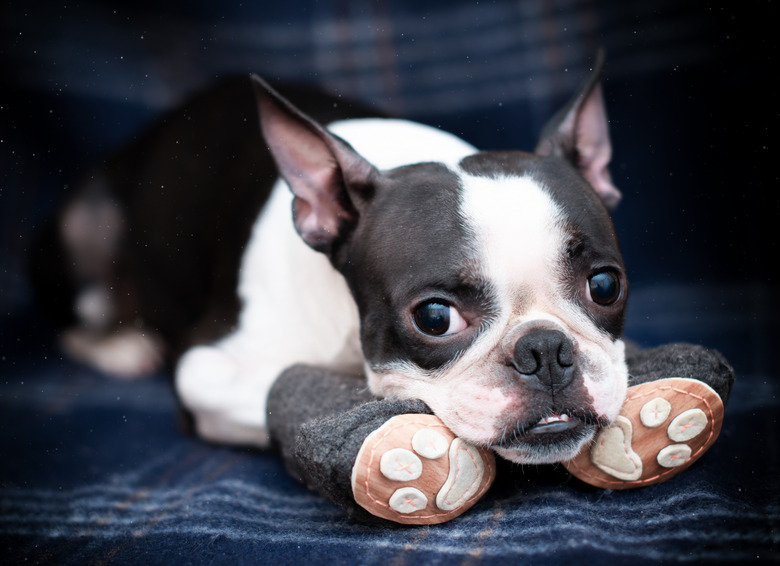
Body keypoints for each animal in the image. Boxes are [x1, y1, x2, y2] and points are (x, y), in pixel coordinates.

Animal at [36, 54, 632, 470]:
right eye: (435, 318)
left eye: (605, 286)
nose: (545, 349)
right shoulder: (203, 369)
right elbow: (287, 390)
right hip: (81, 225)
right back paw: (121, 345)